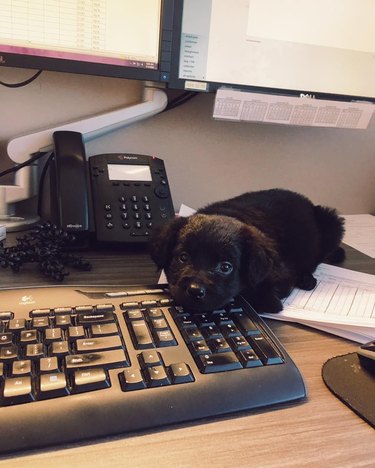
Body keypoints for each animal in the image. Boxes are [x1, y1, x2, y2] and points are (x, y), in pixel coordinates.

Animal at [151, 188, 346, 312]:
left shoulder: (283, 273)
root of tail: (309, 203)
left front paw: (270, 301)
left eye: (225, 267)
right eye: (183, 257)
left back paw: (307, 279)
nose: (195, 291)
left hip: (332, 222)